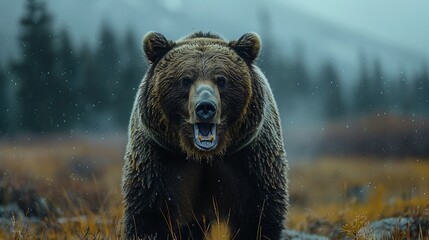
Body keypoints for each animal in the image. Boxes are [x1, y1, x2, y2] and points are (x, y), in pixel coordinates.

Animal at [121, 31, 288, 240]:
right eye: (185, 80)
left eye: (222, 80)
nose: (206, 107)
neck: (203, 155)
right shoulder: (160, 159)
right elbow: (149, 213)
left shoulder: (249, 160)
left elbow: (258, 215)